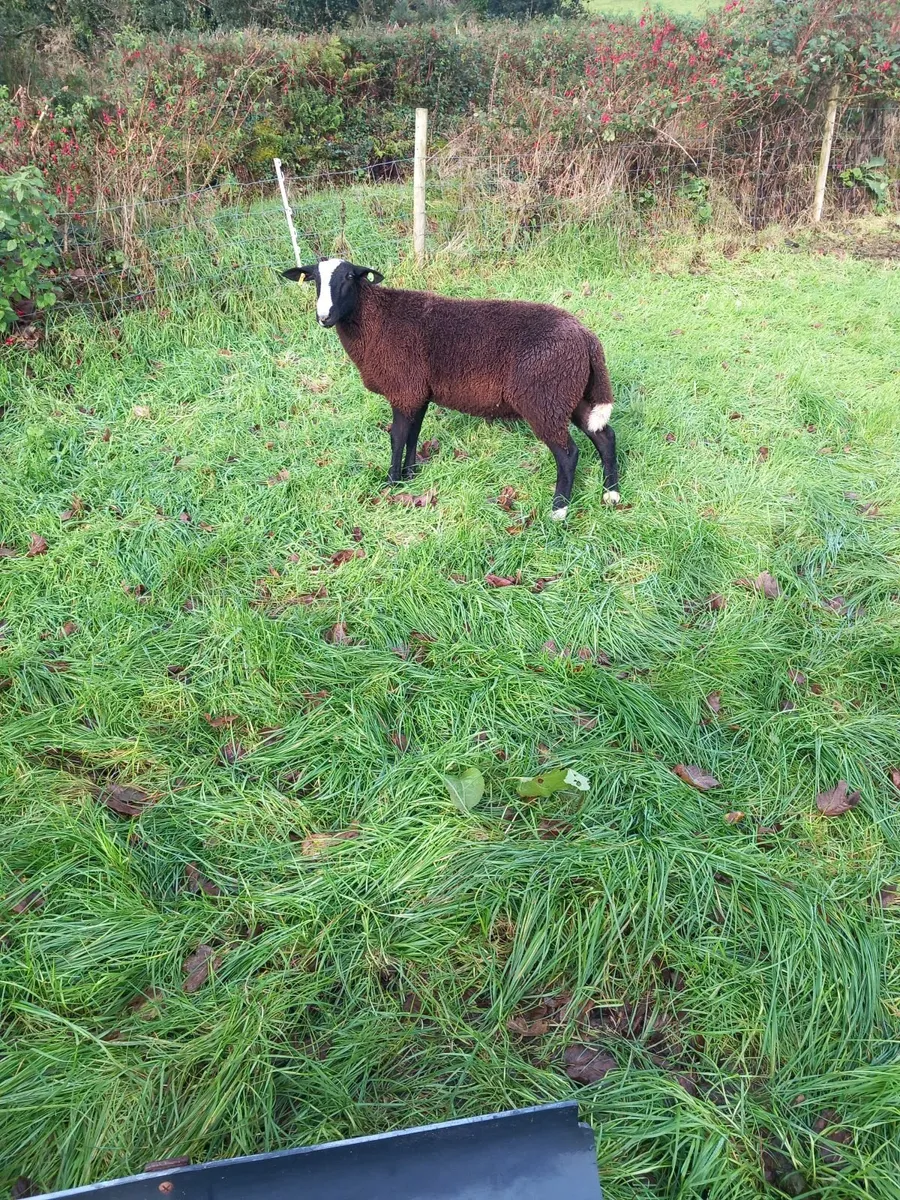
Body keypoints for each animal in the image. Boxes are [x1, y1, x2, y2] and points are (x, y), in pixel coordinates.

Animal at [282, 258, 619, 519]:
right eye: (314, 279)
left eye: (350, 277)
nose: (324, 317)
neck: (374, 321)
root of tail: (587, 337)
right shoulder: (417, 392)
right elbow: (412, 434)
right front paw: (410, 474)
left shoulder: (403, 388)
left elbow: (397, 437)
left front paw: (391, 484)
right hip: (570, 394)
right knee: (605, 436)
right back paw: (610, 493)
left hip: (544, 397)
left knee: (569, 453)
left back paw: (559, 509)